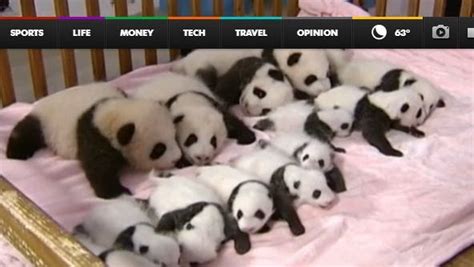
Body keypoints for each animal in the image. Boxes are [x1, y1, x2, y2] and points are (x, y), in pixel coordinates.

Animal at [6, 84, 181, 199]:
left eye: (174, 137)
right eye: (158, 149)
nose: (177, 159)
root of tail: (42, 100)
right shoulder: (94, 137)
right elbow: (98, 167)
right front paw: (117, 192)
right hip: (46, 123)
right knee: (27, 131)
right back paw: (16, 153)